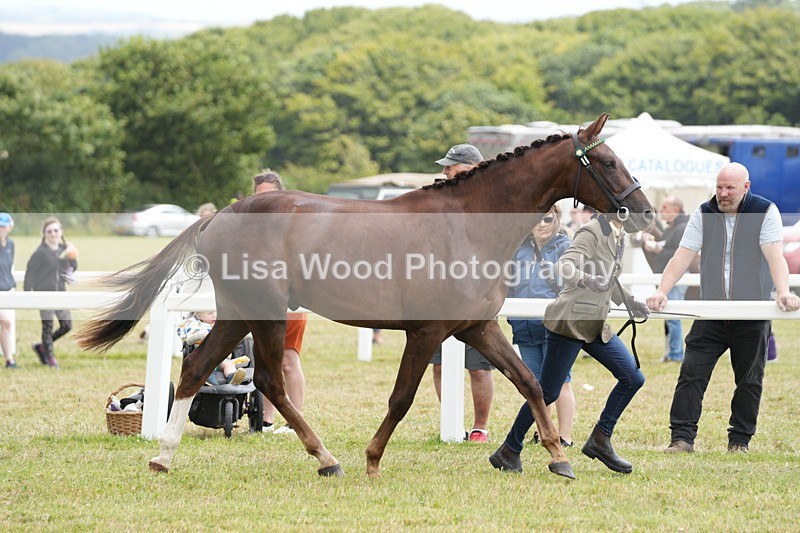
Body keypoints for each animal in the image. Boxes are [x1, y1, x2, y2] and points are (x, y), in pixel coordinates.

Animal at [76, 113, 654, 480]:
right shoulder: (426, 332)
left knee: (205, 372)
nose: (645, 212)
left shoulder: (478, 329)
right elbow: (401, 397)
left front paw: (557, 457)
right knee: (266, 382)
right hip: (262, 312)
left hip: (241, 313)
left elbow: (531, 384)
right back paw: (327, 458)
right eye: (606, 161)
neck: (466, 225)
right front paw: (373, 459)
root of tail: (220, 216)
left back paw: (167, 457)